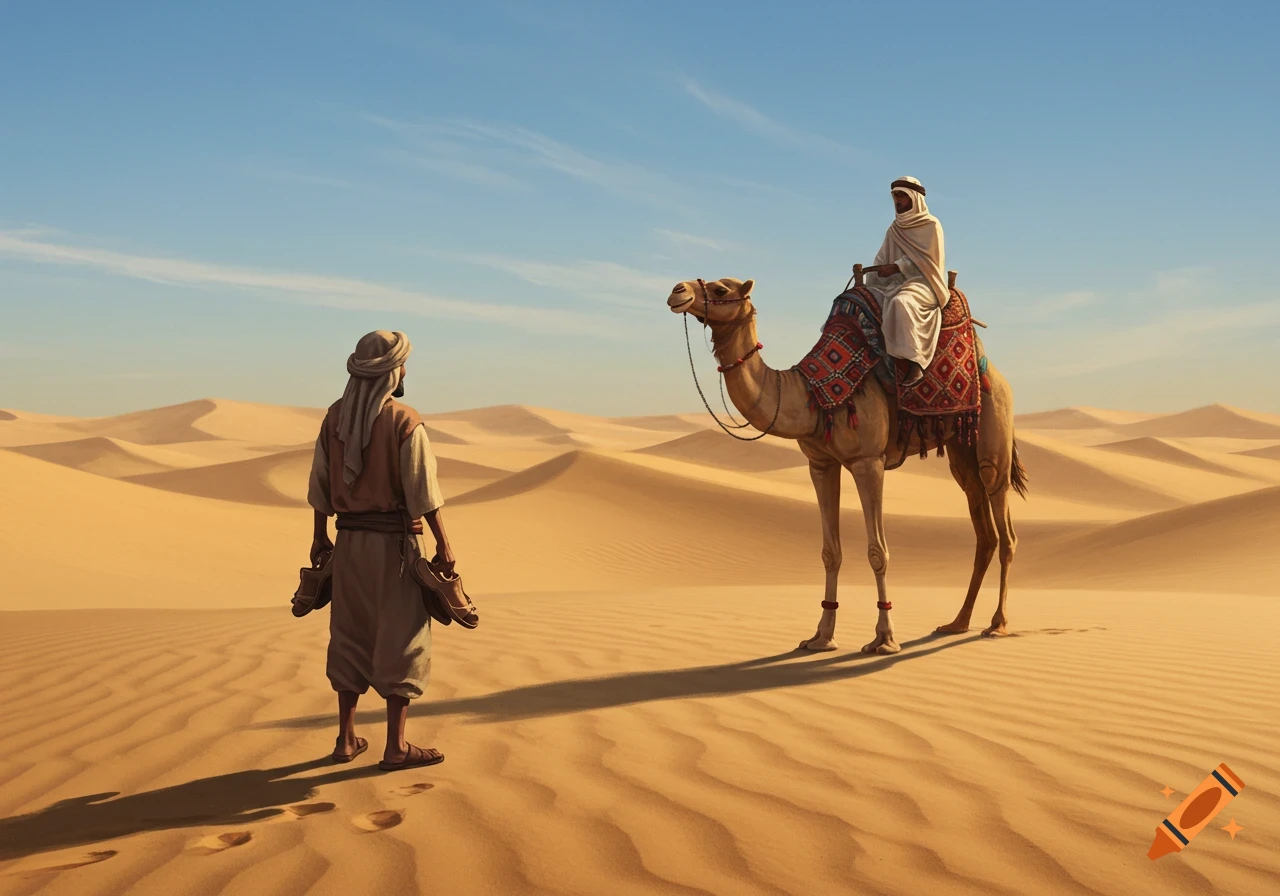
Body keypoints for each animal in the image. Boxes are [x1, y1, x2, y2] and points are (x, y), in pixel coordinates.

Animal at [665, 274, 1028, 654]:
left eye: (721, 289)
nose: (677, 291)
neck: (811, 395)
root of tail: (995, 371)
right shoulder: (821, 464)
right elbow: (830, 552)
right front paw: (821, 637)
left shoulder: (868, 461)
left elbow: (878, 551)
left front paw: (884, 638)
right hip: (960, 447)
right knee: (983, 528)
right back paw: (958, 622)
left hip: (994, 427)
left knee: (1004, 522)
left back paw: (997, 624)